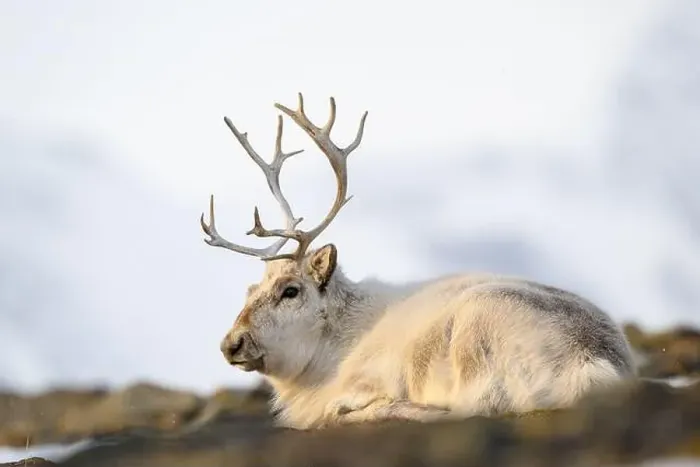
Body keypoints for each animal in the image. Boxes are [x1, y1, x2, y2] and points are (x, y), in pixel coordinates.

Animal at [200, 93, 637, 430]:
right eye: (250, 290)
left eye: (290, 290)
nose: (230, 343)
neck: (332, 348)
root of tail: (595, 363)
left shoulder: (367, 380)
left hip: (475, 327)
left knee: (467, 409)